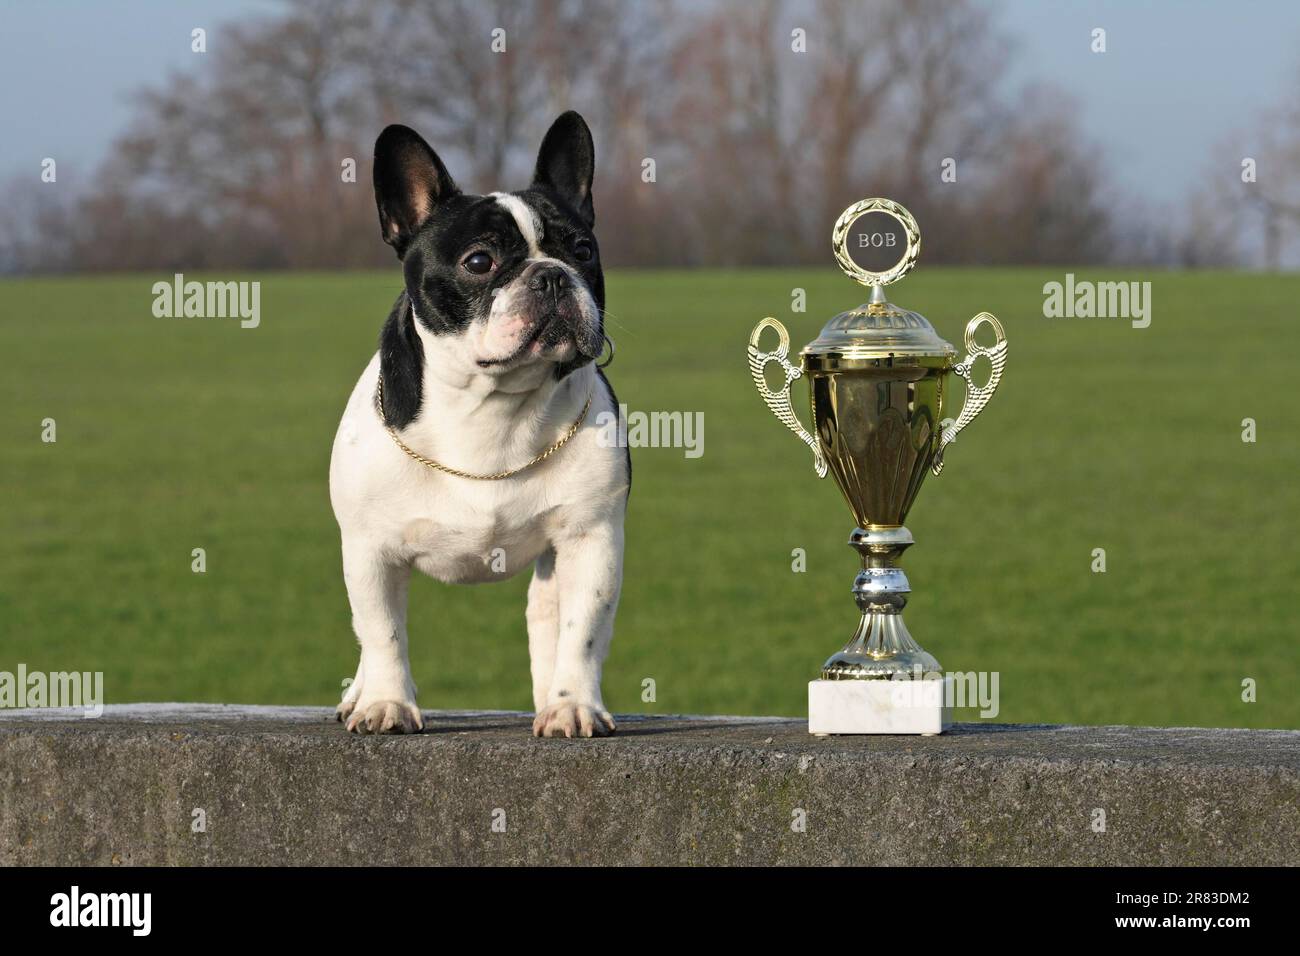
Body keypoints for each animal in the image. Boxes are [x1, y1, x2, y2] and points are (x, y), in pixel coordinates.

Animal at [327, 111, 626, 738]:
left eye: (583, 249)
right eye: (479, 262)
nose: (551, 276)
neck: (495, 406)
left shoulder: (591, 538)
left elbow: (582, 632)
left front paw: (573, 705)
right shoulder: (370, 549)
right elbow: (382, 631)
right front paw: (387, 702)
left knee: (546, 621)